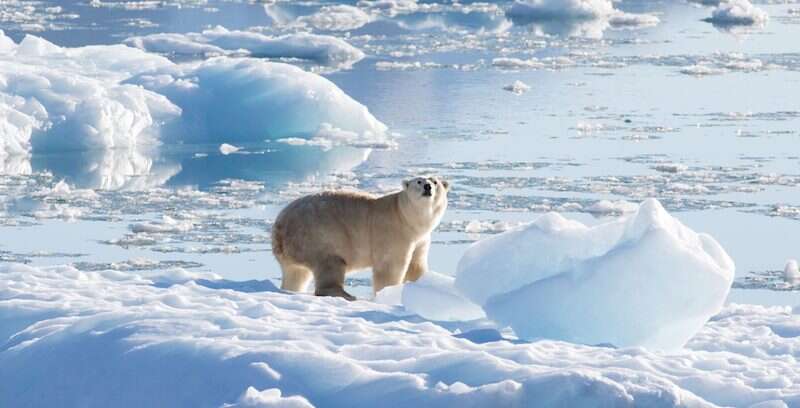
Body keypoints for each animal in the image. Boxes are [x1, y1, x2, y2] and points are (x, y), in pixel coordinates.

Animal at [272, 175, 450, 300]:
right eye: (418, 181)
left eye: (435, 181)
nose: (427, 186)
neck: (405, 216)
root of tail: (279, 227)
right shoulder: (393, 232)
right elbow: (390, 267)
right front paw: (388, 293)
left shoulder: (421, 239)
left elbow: (416, 265)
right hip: (319, 234)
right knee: (330, 263)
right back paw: (347, 295)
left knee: (296, 273)